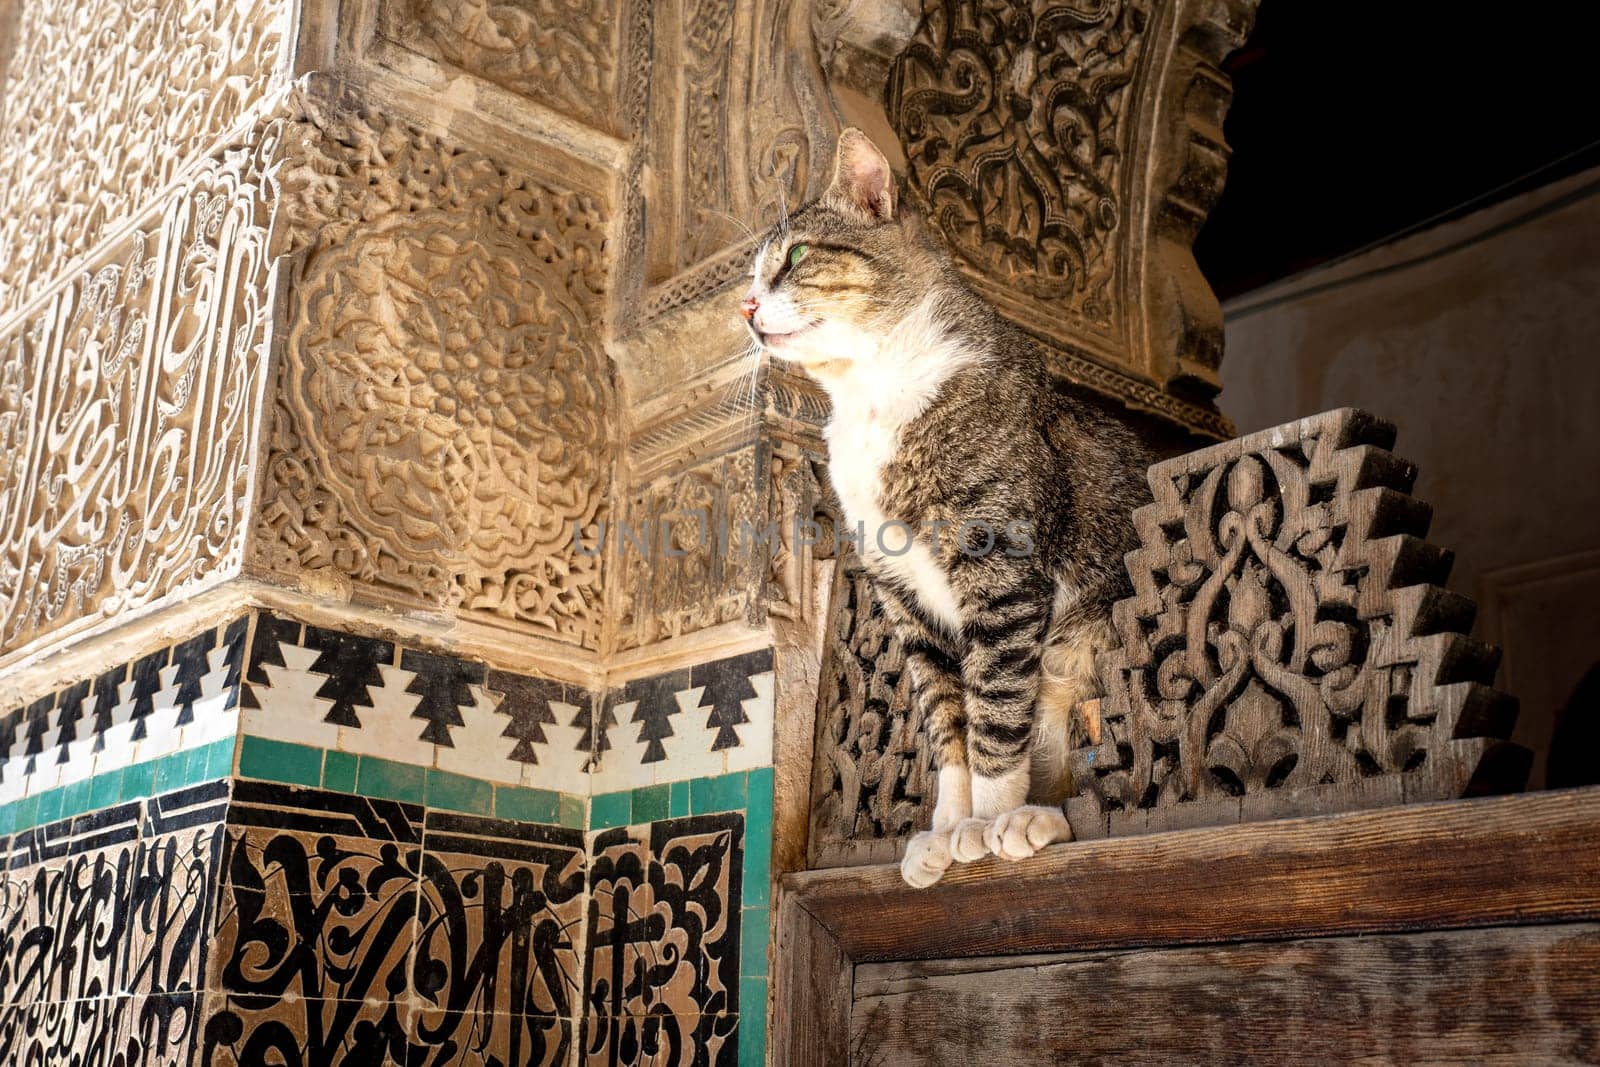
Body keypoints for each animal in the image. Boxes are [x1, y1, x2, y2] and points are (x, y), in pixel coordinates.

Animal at [742, 129, 1158, 889]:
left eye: (797, 256)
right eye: (752, 277)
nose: (746, 309)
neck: (871, 395)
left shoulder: (1001, 577)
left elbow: (995, 708)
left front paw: (987, 824)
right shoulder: (906, 600)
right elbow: (947, 720)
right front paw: (946, 826)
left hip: (1085, 641)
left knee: (1088, 761)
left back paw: (1036, 816)